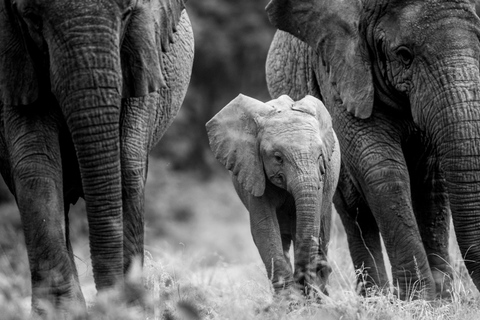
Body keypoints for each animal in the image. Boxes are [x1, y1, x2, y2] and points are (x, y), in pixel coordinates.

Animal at [0, 0, 193, 314]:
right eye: (31, 19)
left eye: (128, 12)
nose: (108, 300)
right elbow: (36, 166)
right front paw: (60, 313)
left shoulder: (142, 52)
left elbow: (127, 162)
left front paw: (130, 308)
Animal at [206, 94, 342, 294]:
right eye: (278, 158)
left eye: (320, 157)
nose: (302, 283)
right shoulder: (253, 169)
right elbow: (264, 227)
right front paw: (289, 299)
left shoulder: (320, 178)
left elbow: (307, 225)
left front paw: (305, 295)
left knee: (321, 234)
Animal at [266, 0, 480, 300]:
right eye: (404, 55)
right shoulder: (337, 70)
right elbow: (380, 167)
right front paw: (417, 301)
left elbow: (430, 177)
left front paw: (444, 300)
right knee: (353, 206)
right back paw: (374, 296)